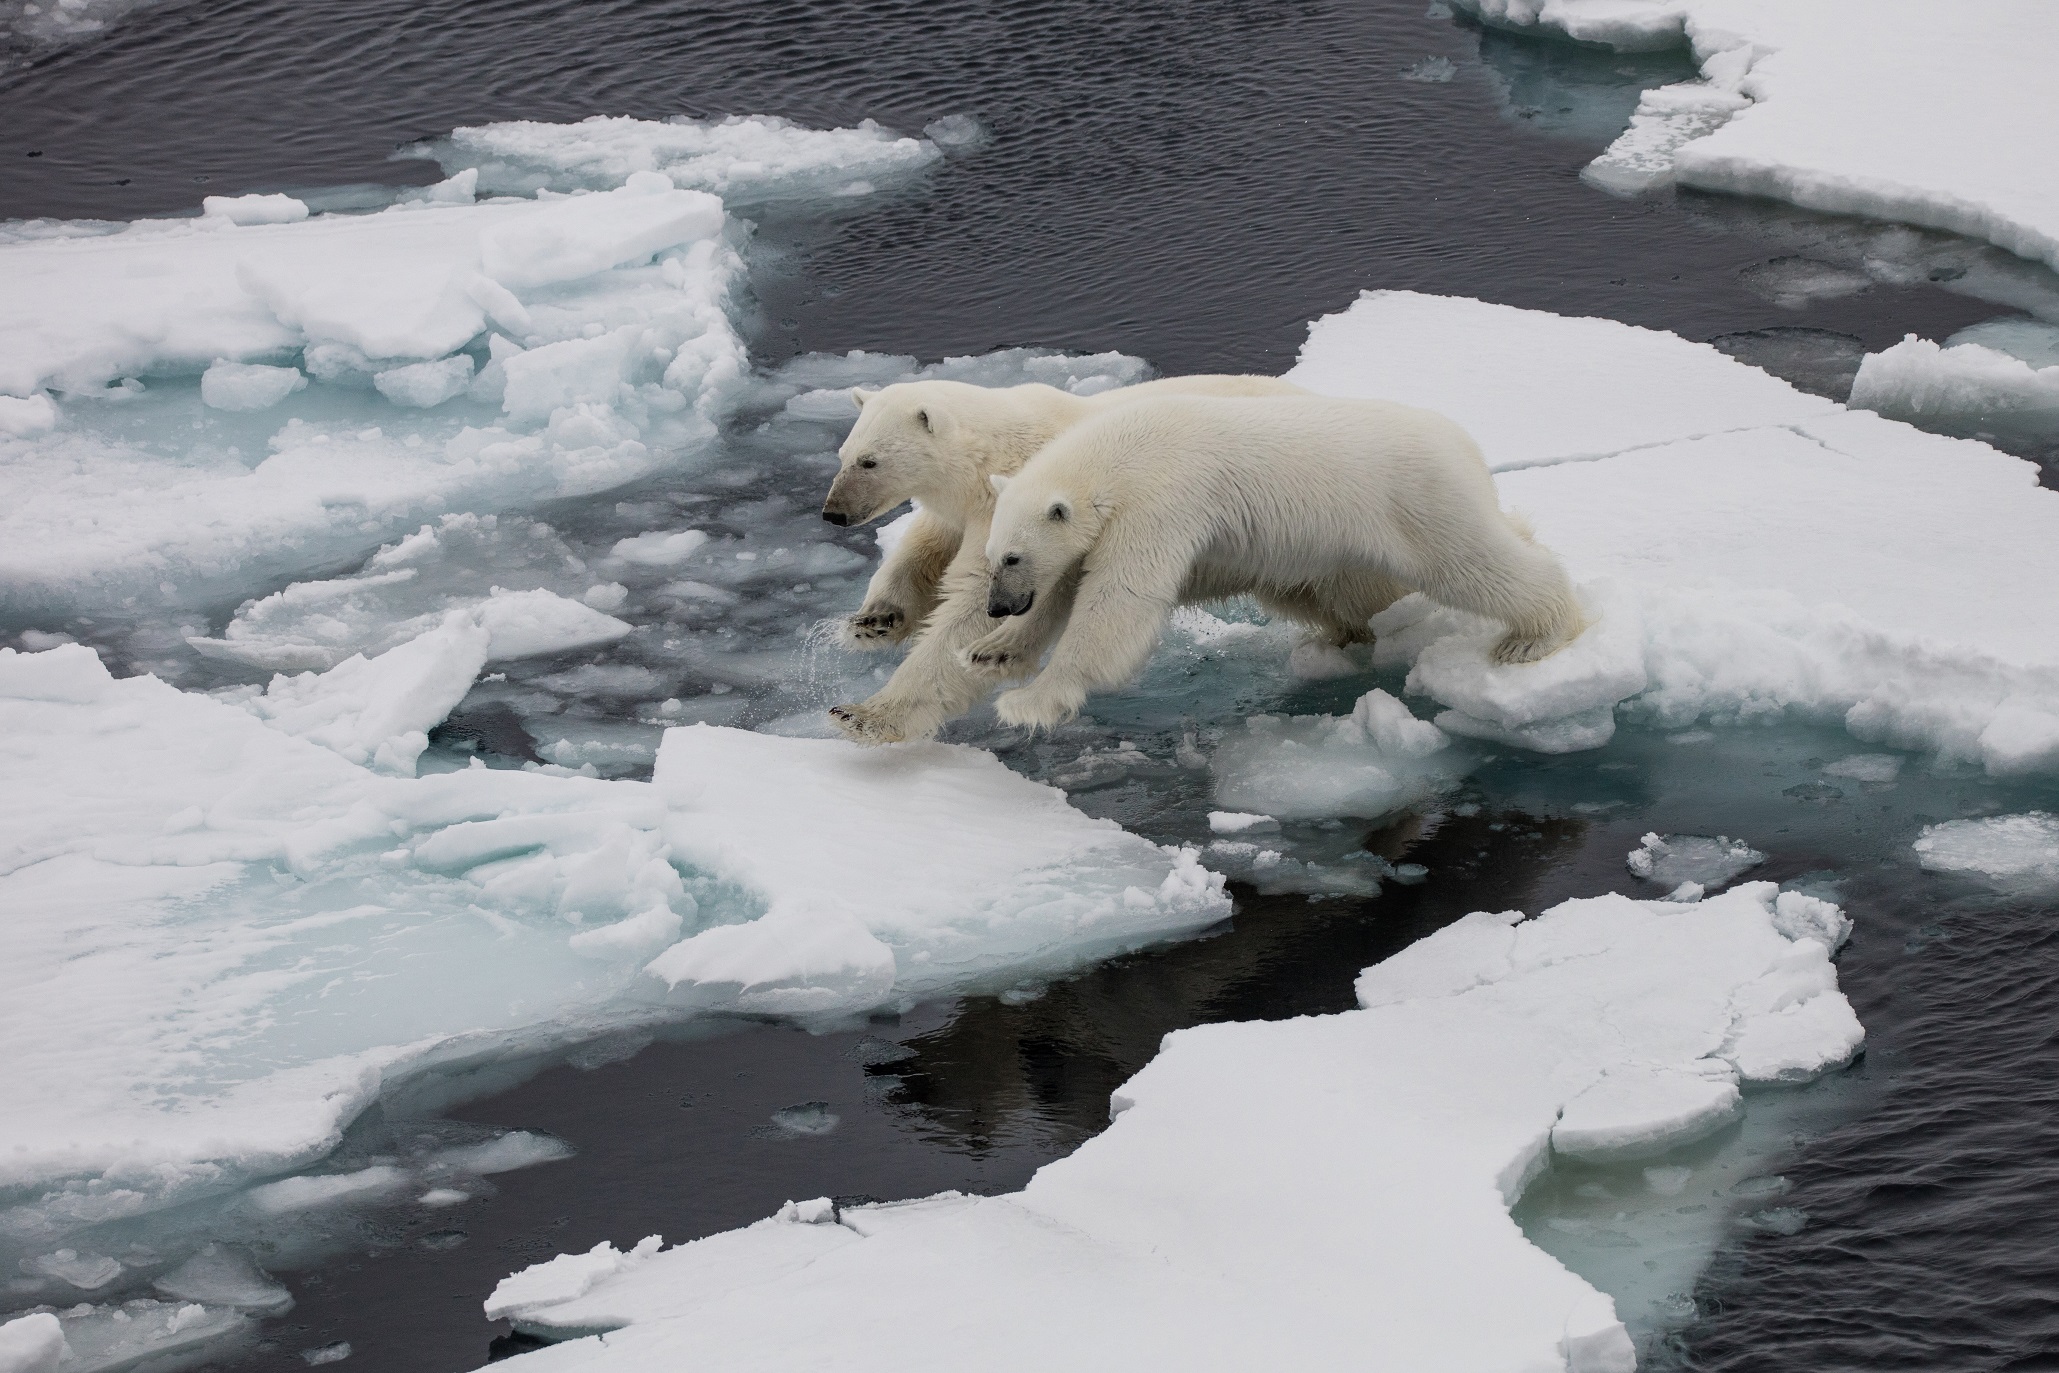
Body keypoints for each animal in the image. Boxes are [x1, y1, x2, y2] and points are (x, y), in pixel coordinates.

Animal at [819, 372, 1301, 741]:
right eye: (842, 455)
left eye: (870, 461)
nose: (833, 513)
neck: (992, 453)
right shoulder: (972, 507)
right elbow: (924, 547)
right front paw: (874, 621)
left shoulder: (1015, 505)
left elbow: (973, 600)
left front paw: (864, 716)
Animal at [971, 391, 1581, 736]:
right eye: (992, 557)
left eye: (1014, 555)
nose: (998, 605)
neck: (1118, 455)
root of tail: (1464, 443)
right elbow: (1067, 584)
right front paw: (992, 650)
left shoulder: (1162, 500)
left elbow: (1120, 600)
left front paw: (1028, 702)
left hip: (1414, 499)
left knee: (1471, 563)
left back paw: (1533, 636)